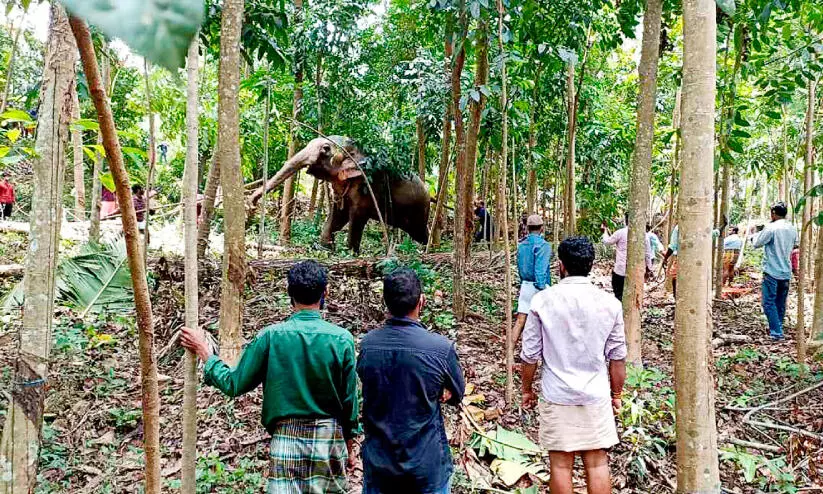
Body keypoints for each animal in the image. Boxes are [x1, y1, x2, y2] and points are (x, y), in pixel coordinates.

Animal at [249, 136, 431, 253]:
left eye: (325, 149)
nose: (251, 203)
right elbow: (337, 214)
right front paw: (325, 248)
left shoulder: (367, 186)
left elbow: (356, 217)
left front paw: (351, 253)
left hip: (419, 210)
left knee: (420, 232)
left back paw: (428, 249)